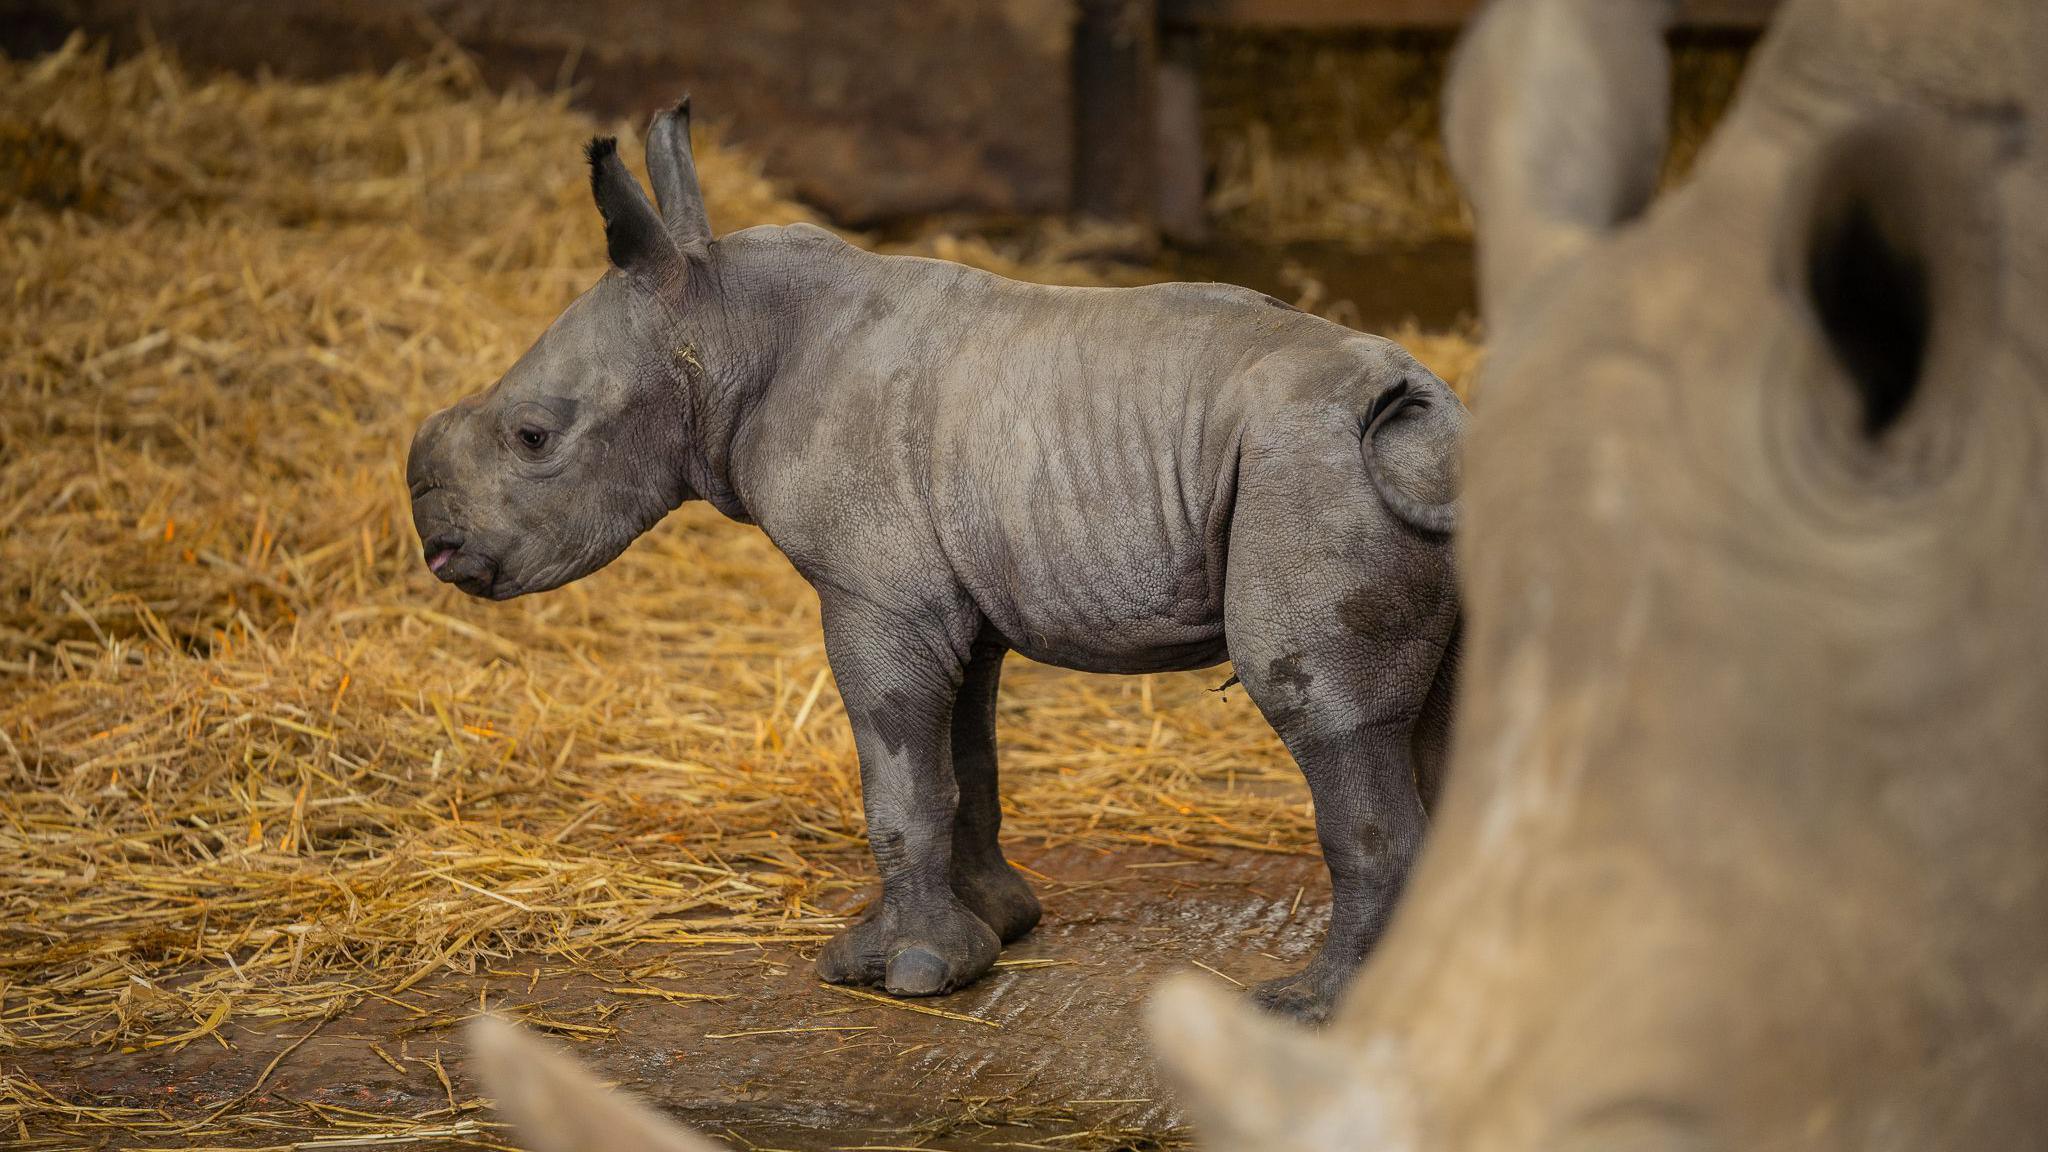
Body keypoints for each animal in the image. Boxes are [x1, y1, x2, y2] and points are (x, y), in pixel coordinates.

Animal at [403, 98, 1458, 1012]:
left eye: (533, 438)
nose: (435, 540)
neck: (722, 326)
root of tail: (1423, 409)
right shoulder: (952, 596)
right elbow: (964, 761)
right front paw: (997, 928)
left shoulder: (877, 592)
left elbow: (899, 773)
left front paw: (899, 972)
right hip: (1378, 475)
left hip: (1307, 470)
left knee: (1327, 714)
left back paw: (1312, 1008)